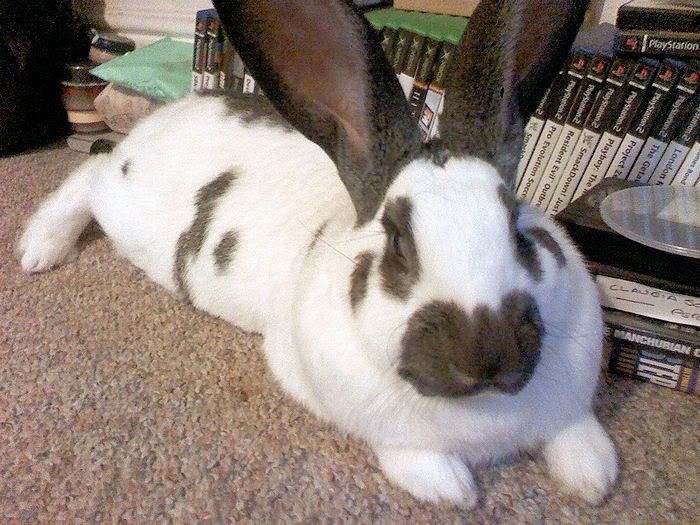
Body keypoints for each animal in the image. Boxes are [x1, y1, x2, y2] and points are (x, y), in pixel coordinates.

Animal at [17, 0, 617, 507]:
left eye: (518, 229)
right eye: (397, 243)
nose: (486, 356)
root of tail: (162, 118)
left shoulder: (569, 405)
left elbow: (577, 436)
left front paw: (596, 478)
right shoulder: (367, 419)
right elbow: (418, 460)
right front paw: (453, 491)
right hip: (119, 200)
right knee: (90, 170)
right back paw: (38, 250)